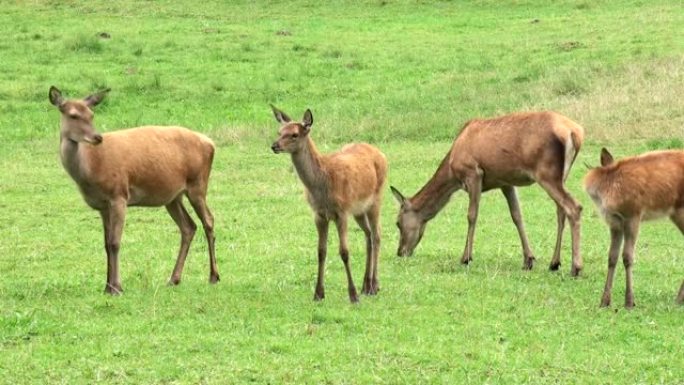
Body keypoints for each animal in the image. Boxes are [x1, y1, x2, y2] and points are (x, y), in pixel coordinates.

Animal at [48, 85, 219, 292]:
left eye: (91, 114)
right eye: (73, 115)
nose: (97, 137)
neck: (90, 168)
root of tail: (211, 143)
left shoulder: (119, 195)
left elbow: (115, 242)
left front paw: (117, 287)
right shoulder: (102, 206)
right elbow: (106, 243)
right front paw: (107, 286)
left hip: (198, 184)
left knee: (208, 220)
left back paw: (213, 276)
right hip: (173, 197)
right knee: (188, 226)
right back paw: (174, 279)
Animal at [272, 105, 390, 304]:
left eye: (294, 134)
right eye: (280, 131)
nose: (274, 145)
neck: (322, 185)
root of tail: (381, 154)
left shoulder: (341, 212)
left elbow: (344, 251)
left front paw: (352, 295)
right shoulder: (319, 214)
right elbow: (321, 251)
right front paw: (318, 293)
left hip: (376, 198)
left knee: (377, 235)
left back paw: (374, 285)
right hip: (358, 210)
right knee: (368, 235)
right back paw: (366, 285)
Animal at [390, 109, 584, 274]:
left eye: (398, 223)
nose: (400, 252)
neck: (452, 169)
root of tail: (575, 133)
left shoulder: (473, 173)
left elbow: (471, 215)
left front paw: (466, 257)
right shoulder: (506, 182)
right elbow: (517, 215)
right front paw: (528, 259)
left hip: (546, 172)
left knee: (574, 207)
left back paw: (576, 267)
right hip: (561, 175)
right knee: (561, 211)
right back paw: (554, 263)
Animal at [584, 148, 684, 308]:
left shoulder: (634, 215)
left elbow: (627, 256)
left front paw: (629, 301)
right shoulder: (615, 222)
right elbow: (612, 256)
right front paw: (604, 301)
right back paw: (679, 299)